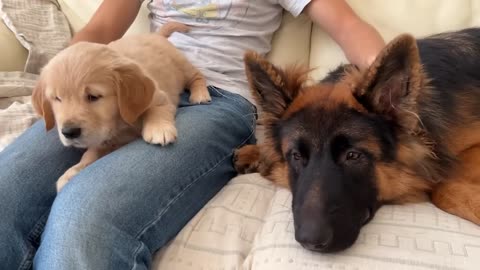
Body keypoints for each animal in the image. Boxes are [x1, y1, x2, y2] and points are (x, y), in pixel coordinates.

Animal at [31, 22, 209, 193]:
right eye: (57, 98)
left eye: (93, 96)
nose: (69, 132)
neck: (119, 123)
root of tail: (155, 35)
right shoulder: (103, 138)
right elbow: (91, 152)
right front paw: (73, 172)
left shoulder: (159, 96)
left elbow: (156, 108)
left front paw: (159, 130)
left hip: (181, 65)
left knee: (198, 76)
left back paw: (200, 95)